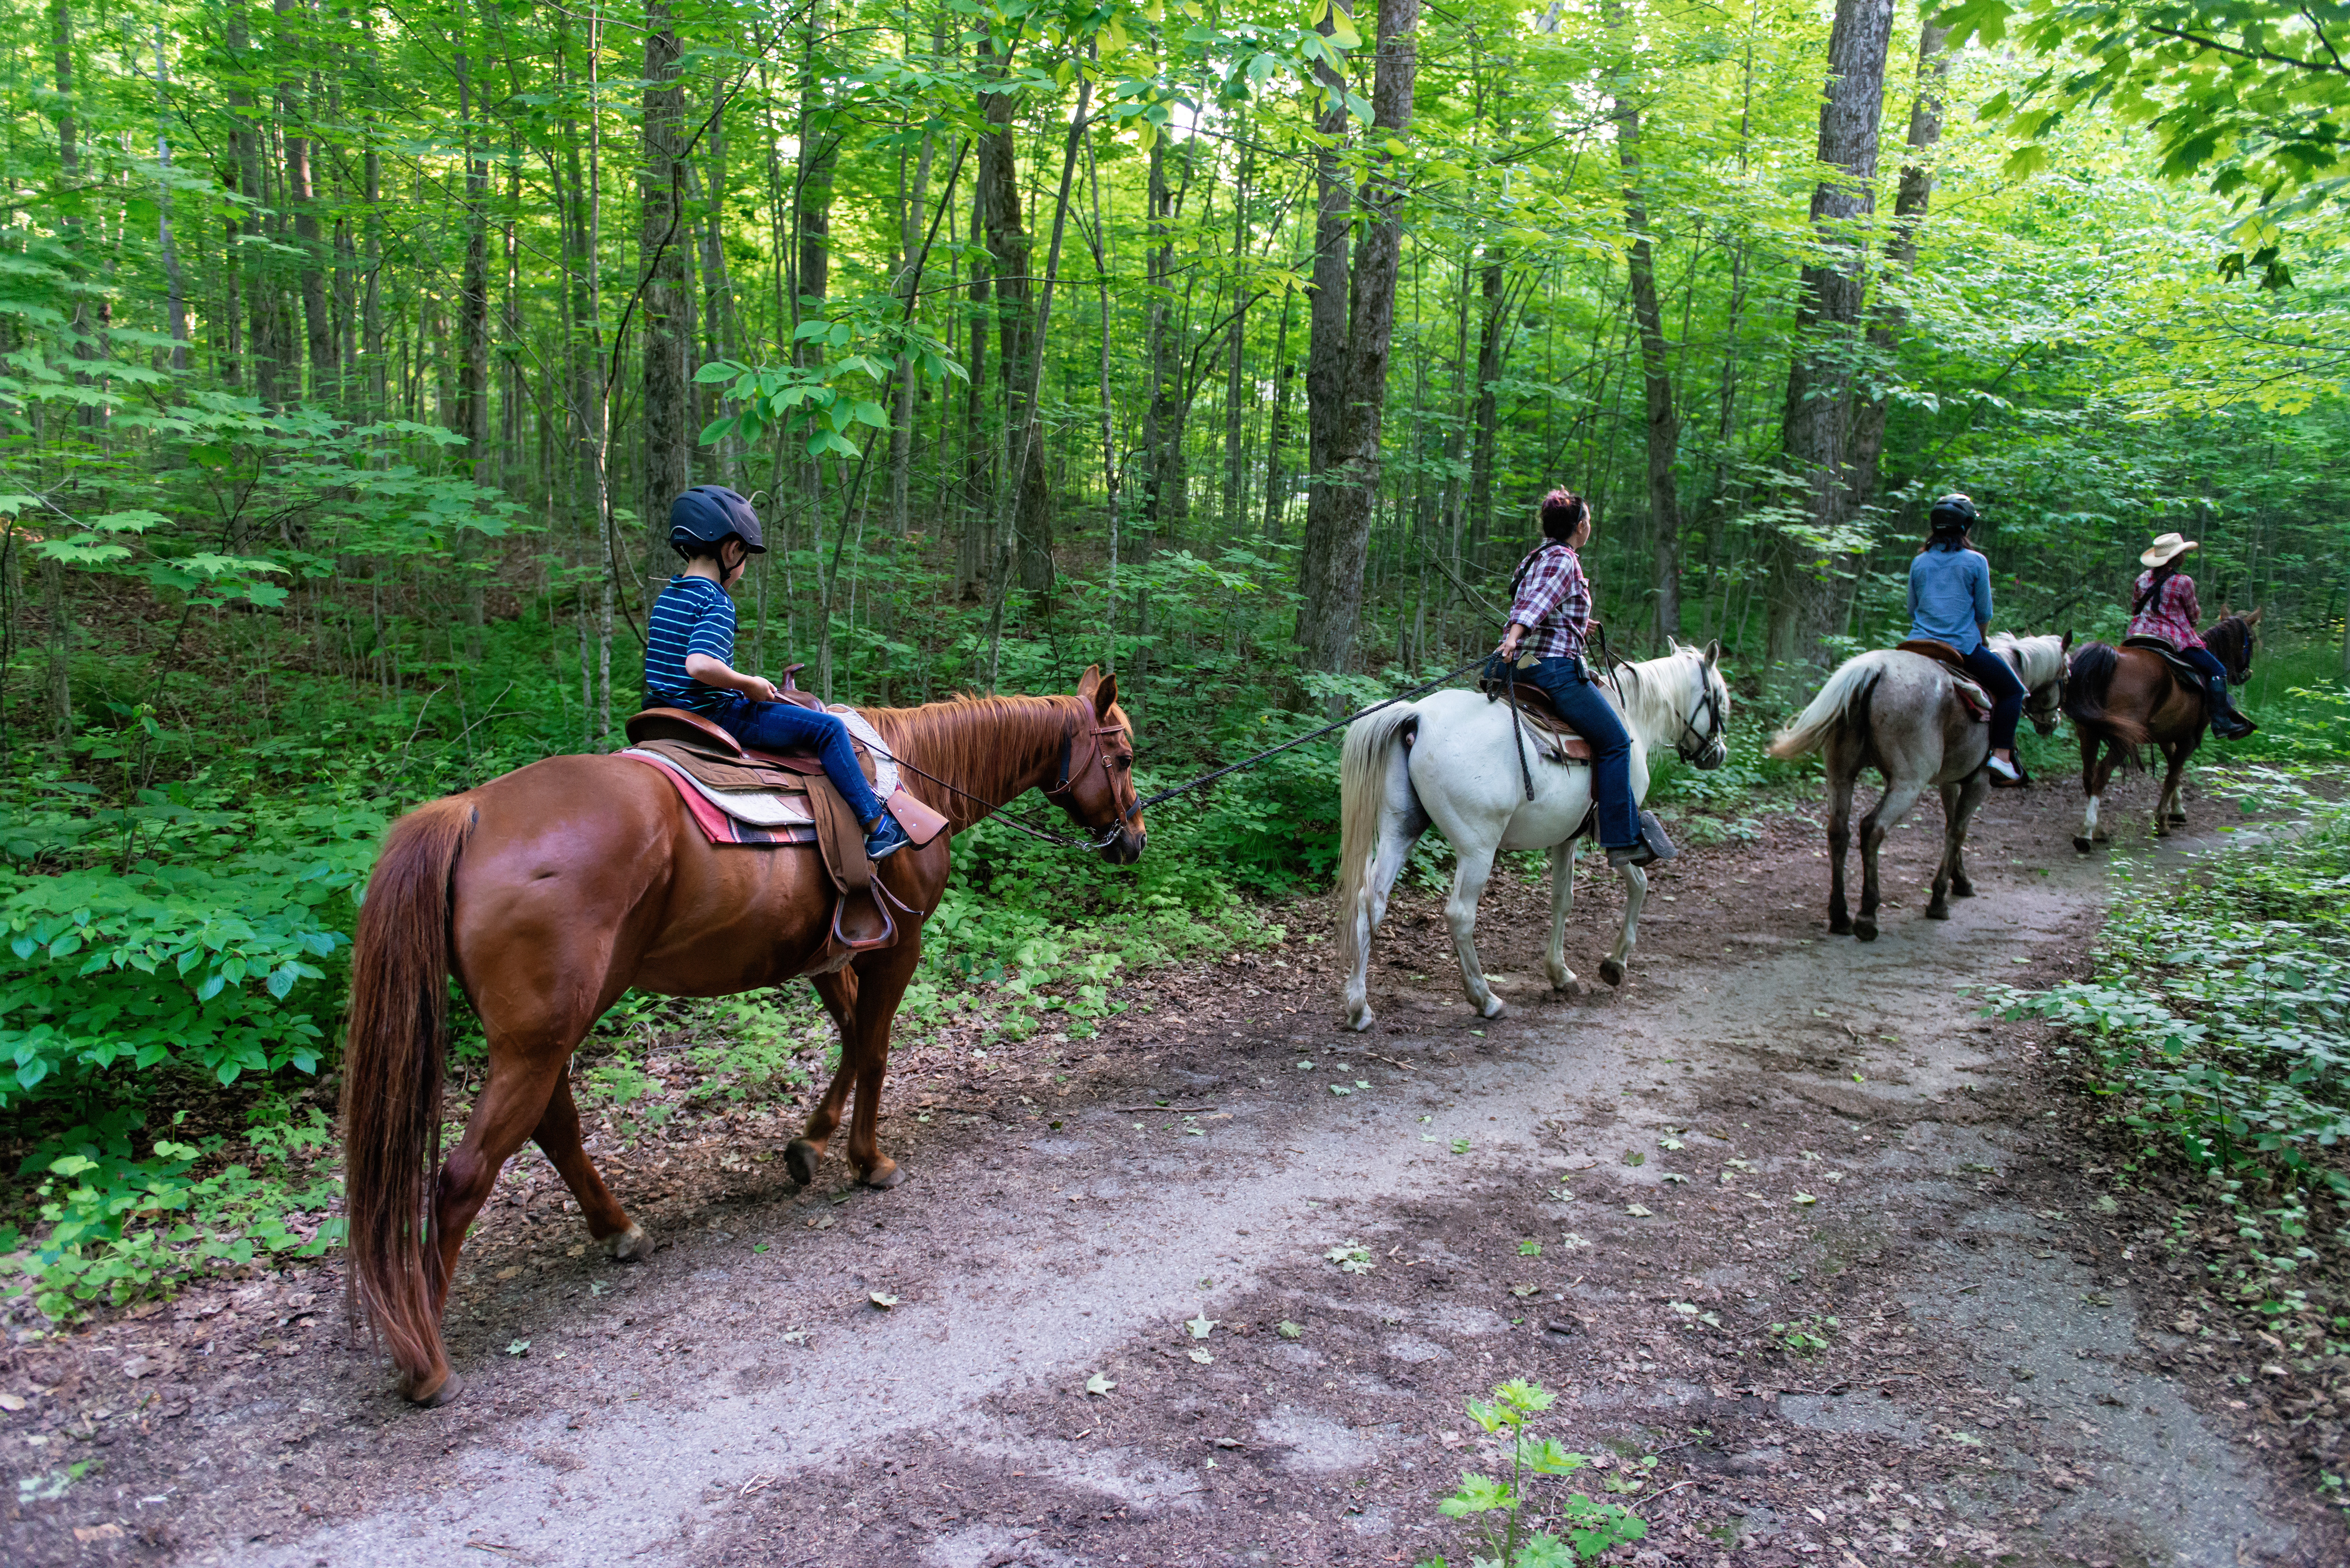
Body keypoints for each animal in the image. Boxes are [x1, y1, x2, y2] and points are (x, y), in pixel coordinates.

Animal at [343, 667, 1142, 1401]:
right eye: (1125, 755)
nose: (1133, 840)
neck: (913, 773)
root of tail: (470, 811)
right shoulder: (896, 945)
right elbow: (875, 1050)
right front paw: (868, 1160)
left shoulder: (832, 950)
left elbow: (850, 1042)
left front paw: (810, 1145)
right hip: (539, 1036)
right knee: (463, 1175)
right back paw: (426, 1360)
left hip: (544, 1033)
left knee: (555, 1127)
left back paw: (619, 1230)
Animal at [1335, 639, 1739, 1030]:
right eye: (1721, 698)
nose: (1718, 753)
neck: (1633, 719)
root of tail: (1419, 716)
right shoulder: (1616, 832)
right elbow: (1638, 884)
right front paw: (1614, 963)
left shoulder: (1565, 838)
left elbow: (1562, 899)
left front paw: (1560, 973)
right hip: (1477, 849)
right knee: (1460, 915)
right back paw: (1486, 999)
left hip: (1400, 830)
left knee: (1372, 901)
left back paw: (1359, 1007)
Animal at [1767, 634, 2068, 945]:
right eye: (2066, 677)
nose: (2053, 723)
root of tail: (1875, 670)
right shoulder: (1979, 782)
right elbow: (1959, 831)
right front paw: (1939, 900)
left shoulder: (1949, 780)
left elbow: (1951, 827)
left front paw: (1960, 882)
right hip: (1908, 784)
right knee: (1872, 828)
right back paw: (1867, 915)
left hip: (1841, 776)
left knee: (1839, 832)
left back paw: (1840, 917)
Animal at [2059, 611, 2256, 860]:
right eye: (2252, 639)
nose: (2245, 674)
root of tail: (2111, 657)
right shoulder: (2189, 739)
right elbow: (2173, 775)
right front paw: (2162, 822)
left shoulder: (2166, 736)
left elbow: (2174, 770)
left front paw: (2178, 811)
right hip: (2124, 737)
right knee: (2102, 773)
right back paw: (2086, 834)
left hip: (2088, 732)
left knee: (2089, 775)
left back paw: (2100, 831)